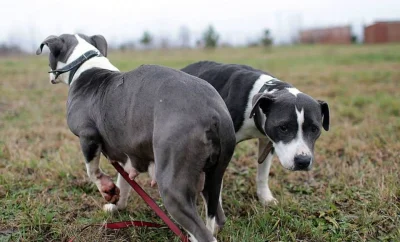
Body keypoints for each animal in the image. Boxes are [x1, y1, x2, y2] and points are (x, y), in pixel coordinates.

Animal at [36, 34, 236, 242]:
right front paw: (116, 204)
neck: (85, 65)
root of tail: (213, 113)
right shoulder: (126, 155)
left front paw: (106, 189)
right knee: (216, 215)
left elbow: (92, 171)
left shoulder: (88, 135)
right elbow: (124, 182)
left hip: (173, 187)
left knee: (203, 233)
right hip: (213, 177)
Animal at [182, 61, 332, 205]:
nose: (303, 161)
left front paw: (265, 198)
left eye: (314, 129)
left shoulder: (268, 142)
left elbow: (263, 174)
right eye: (283, 127)